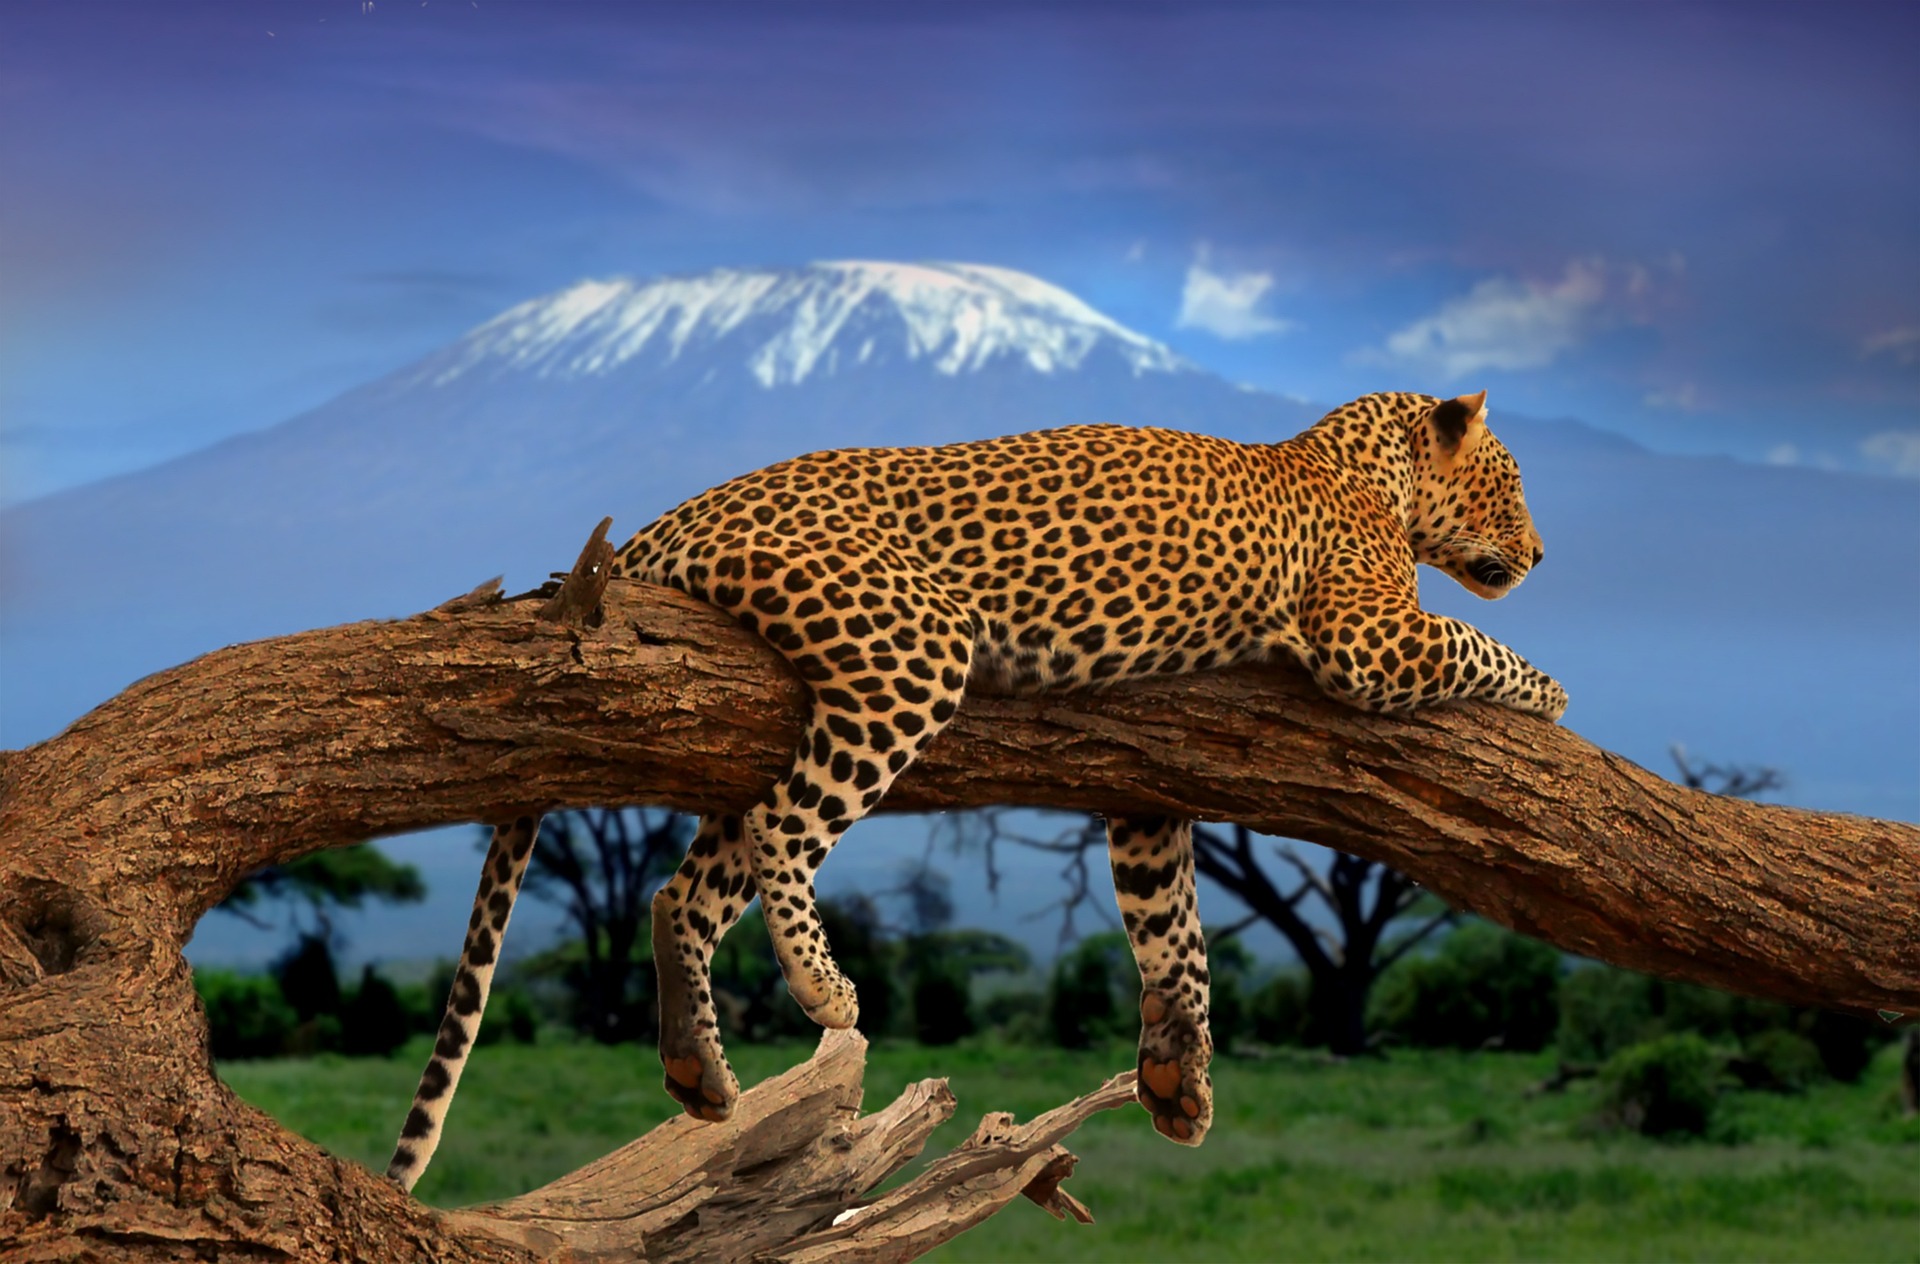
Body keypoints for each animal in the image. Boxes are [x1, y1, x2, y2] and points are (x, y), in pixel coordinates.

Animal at [386, 389, 1566, 1192]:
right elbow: (1477, 642)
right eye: (1513, 482)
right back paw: (825, 992)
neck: (1365, 467)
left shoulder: (1152, 791)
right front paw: (1551, 693)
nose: (1546, 552)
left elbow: (1173, 933)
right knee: (781, 829)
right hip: (912, 645)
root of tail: (675, 514)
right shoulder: (1370, 636)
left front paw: (1179, 1076)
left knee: (684, 888)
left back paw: (699, 1072)